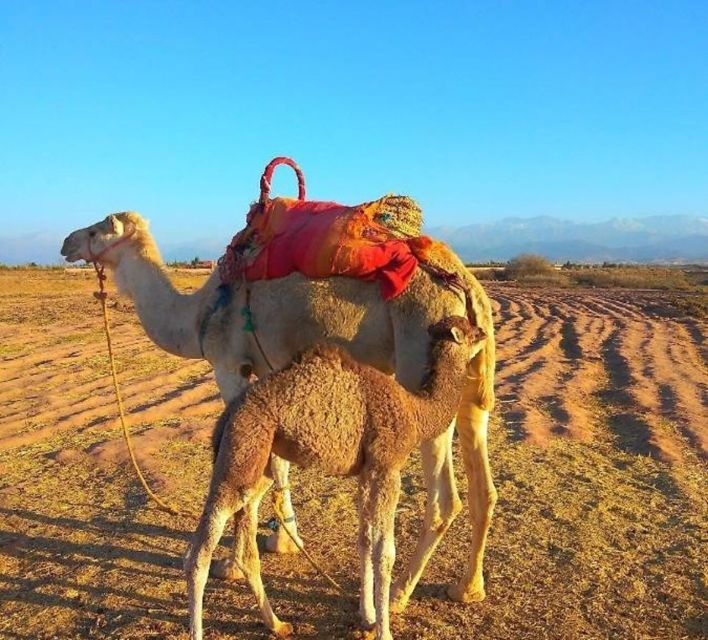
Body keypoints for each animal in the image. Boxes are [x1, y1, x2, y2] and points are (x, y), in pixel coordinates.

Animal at [185, 316, 486, 640]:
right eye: (469, 332)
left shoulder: (367, 472)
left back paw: (277, 623)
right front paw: (384, 631)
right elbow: (385, 553)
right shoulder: (387, 467)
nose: (484, 332)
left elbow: (365, 540)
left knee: (247, 544)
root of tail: (229, 414)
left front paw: (367, 616)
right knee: (198, 552)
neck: (415, 413)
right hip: (240, 454)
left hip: (257, 464)